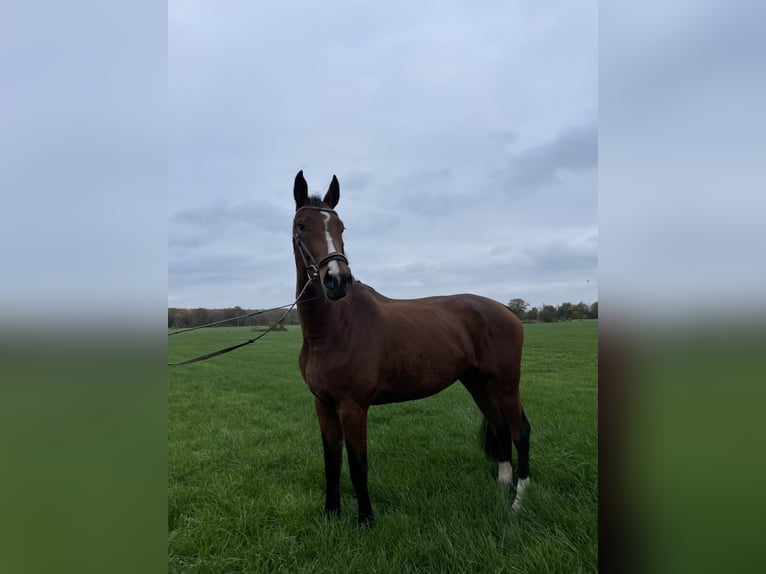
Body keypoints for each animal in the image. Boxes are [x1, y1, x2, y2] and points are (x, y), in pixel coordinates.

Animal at [292, 171, 532, 528]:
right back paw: (502, 490)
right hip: (477, 382)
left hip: (505, 384)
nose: (336, 280)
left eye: (341, 227)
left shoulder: (353, 407)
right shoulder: (323, 405)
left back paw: (518, 502)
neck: (333, 329)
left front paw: (366, 521)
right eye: (301, 226)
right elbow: (332, 463)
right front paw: (331, 516)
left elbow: (358, 466)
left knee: (519, 432)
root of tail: (506, 310)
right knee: (500, 427)